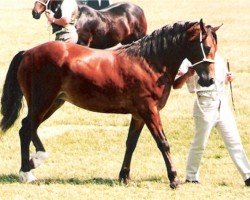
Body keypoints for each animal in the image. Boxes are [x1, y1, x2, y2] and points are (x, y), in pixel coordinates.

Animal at [0, 19, 220, 188]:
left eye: (215, 48)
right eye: (207, 47)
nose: (209, 80)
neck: (149, 62)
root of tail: (28, 52)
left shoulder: (138, 115)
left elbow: (131, 144)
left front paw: (124, 176)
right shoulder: (149, 111)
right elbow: (163, 143)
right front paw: (174, 179)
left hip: (54, 102)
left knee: (26, 128)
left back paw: (29, 168)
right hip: (43, 102)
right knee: (27, 128)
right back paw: (32, 165)